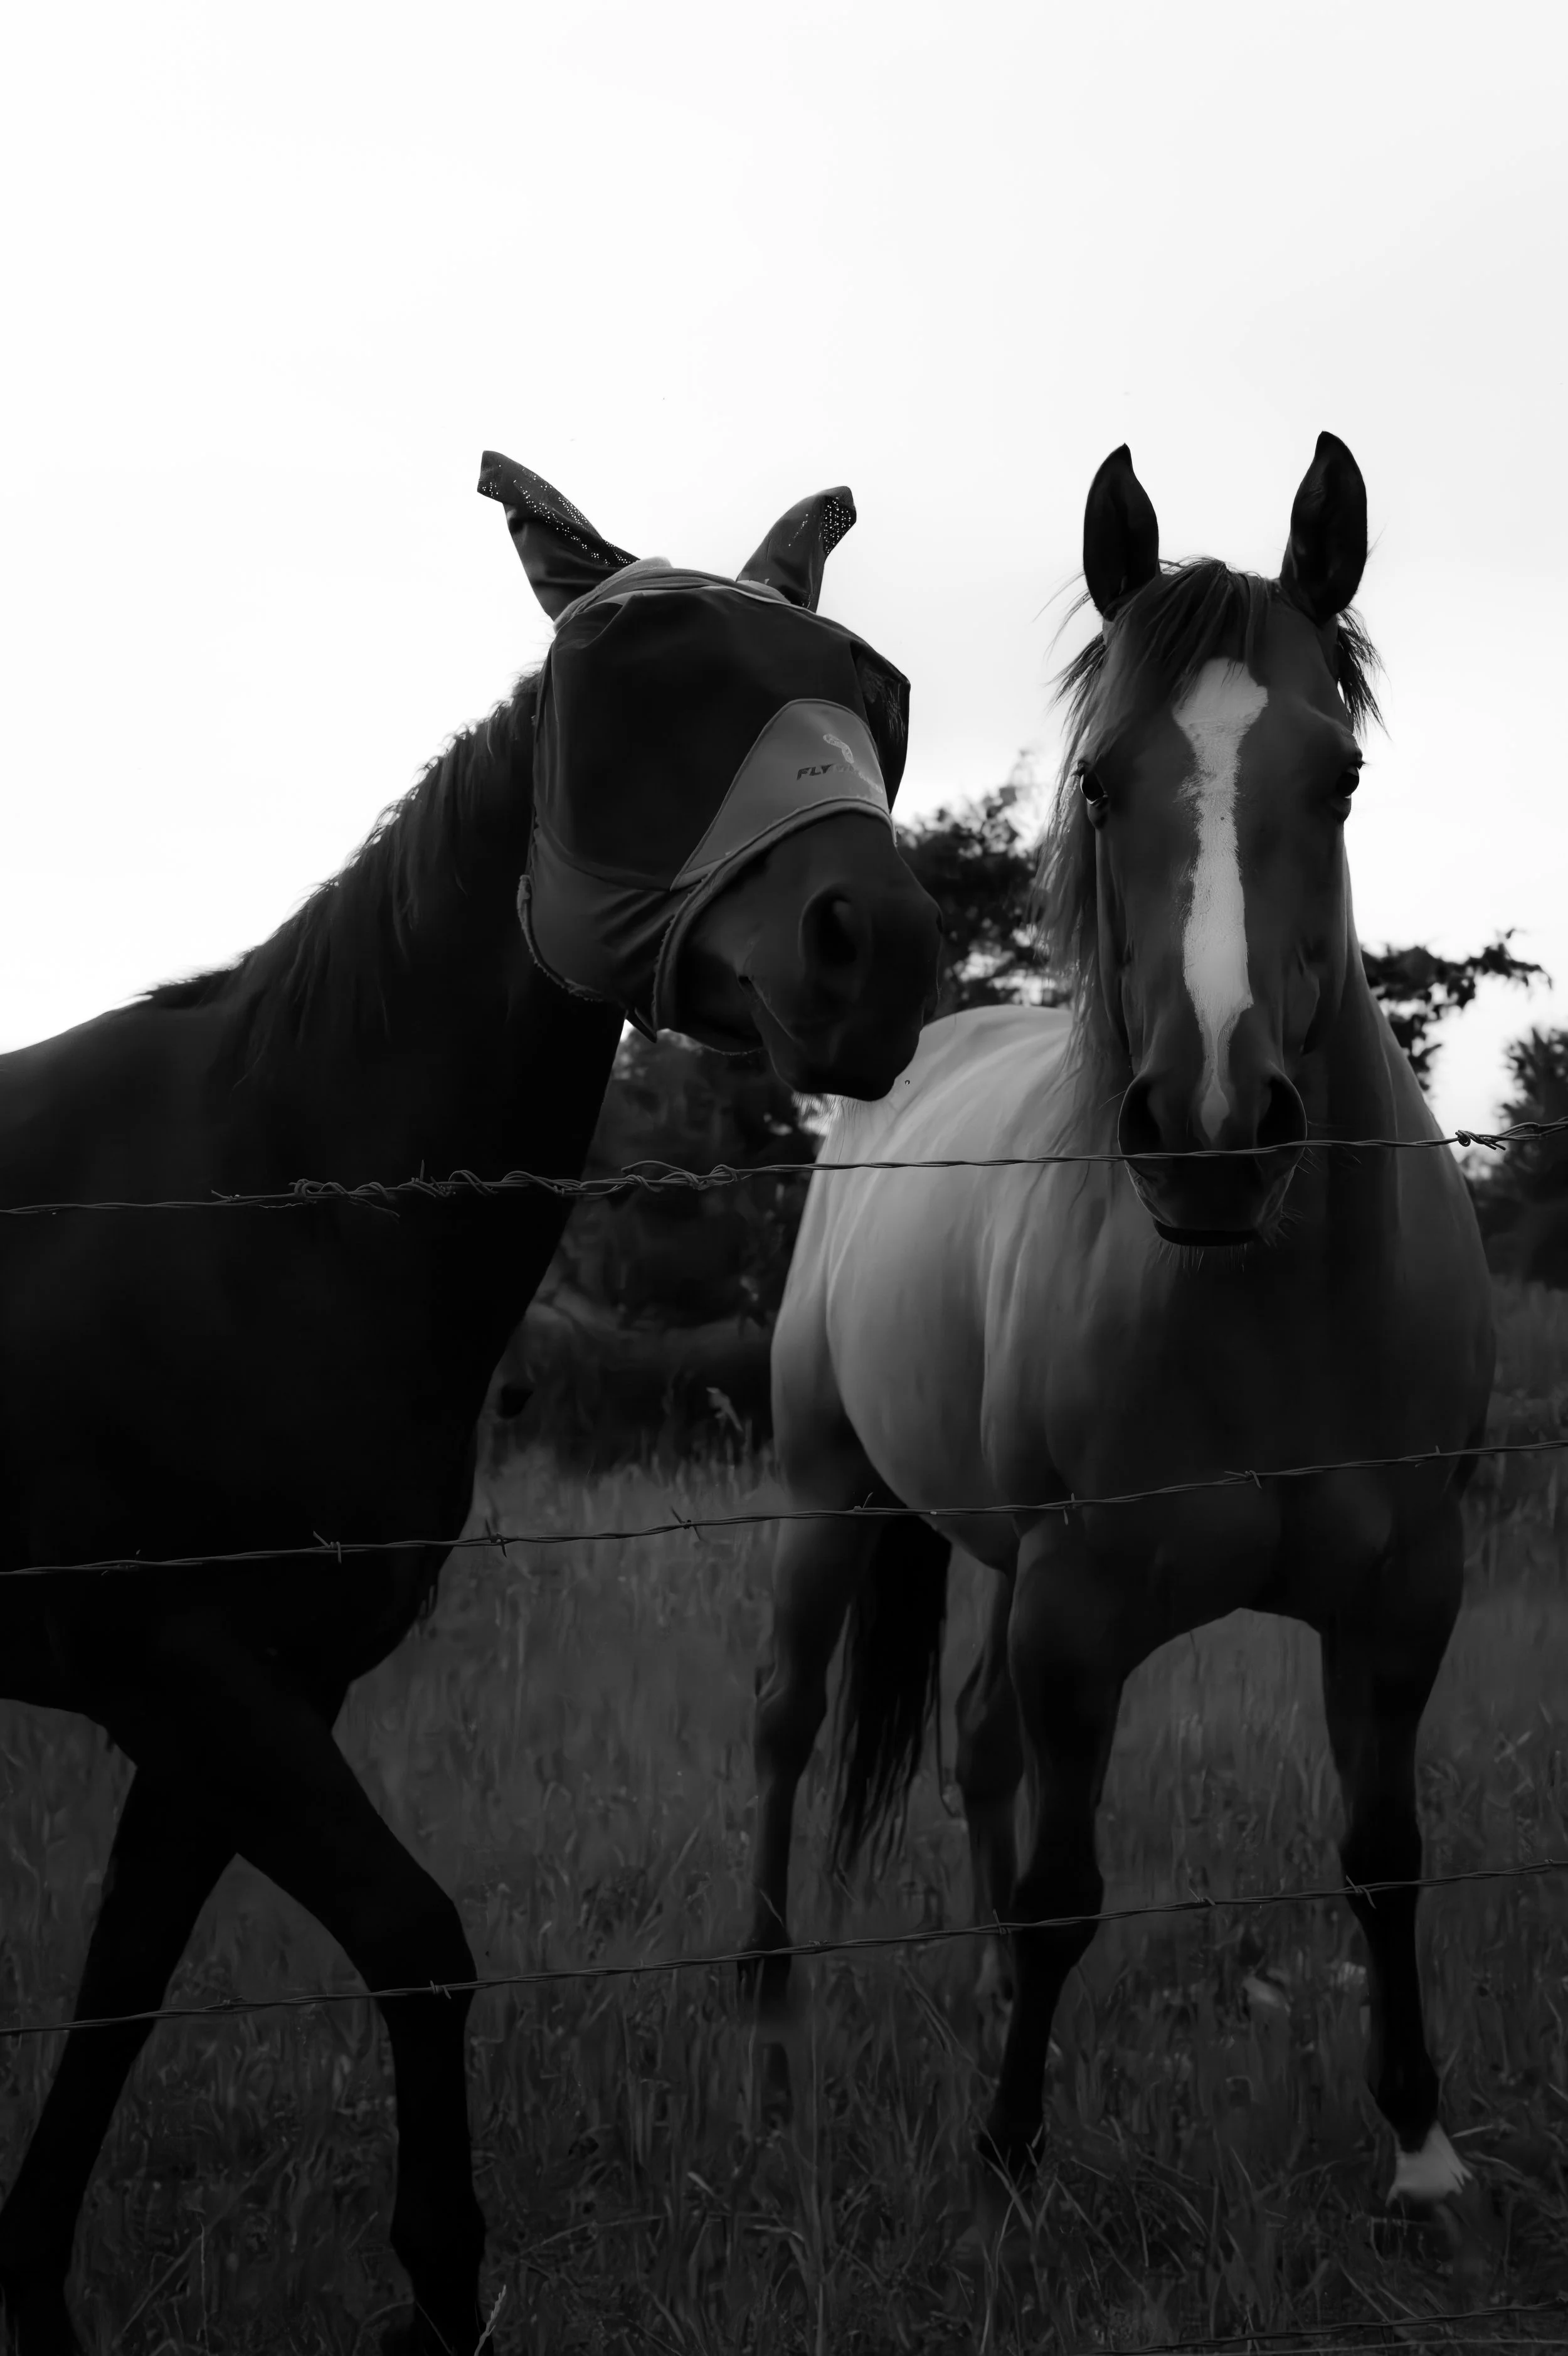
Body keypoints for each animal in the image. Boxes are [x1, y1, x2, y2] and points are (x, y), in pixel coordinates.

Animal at [0, 457, 942, 2356]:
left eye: (875, 697)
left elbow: (119, 1998)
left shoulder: (241, 1695)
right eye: (642, 681)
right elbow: (417, 1937)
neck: (262, 1204)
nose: (874, 949)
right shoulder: (173, 1660)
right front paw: (437, 2281)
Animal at [741, 433, 1495, 2263]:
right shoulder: (1082, 1611)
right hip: (826, 1502)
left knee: (971, 1740)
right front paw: (1010, 2156)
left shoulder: (1403, 1596)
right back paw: (777, 2058)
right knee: (789, 1727)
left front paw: (1420, 2145)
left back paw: (972, 2004)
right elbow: (1065, 1886)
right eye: (1094, 784)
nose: (1213, 1137)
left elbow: (1383, 1851)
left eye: (1340, 775)